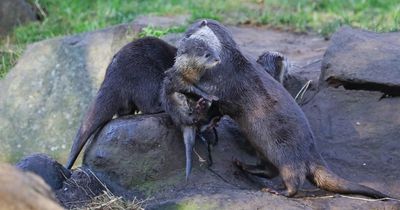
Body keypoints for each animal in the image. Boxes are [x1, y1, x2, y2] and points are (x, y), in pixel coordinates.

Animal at [160, 36, 222, 179]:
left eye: (214, 51)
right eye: (207, 55)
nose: (218, 59)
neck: (188, 73)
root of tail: (183, 123)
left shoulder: (195, 81)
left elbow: (199, 89)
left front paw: (211, 97)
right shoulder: (181, 81)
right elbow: (194, 89)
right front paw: (210, 96)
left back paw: (203, 105)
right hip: (175, 107)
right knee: (189, 113)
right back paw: (196, 106)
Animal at [182, 19, 390, 199]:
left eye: (189, 31)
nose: (183, 37)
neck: (225, 57)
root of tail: (311, 151)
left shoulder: (218, 80)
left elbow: (211, 97)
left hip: (286, 155)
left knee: (293, 179)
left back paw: (279, 191)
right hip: (264, 149)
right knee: (269, 170)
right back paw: (243, 165)